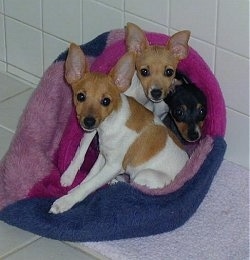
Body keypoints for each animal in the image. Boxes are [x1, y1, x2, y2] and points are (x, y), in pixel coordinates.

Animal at [49, 44, 188, 214]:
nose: (89, 121)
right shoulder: (104, 156)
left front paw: (65, 201)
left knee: (131, 184)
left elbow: (89, 185)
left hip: (144, 176)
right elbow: (90, 175)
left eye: (106, 101)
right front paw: (75, 187)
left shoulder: (113, 166)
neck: (110, 123)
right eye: (80, 97)